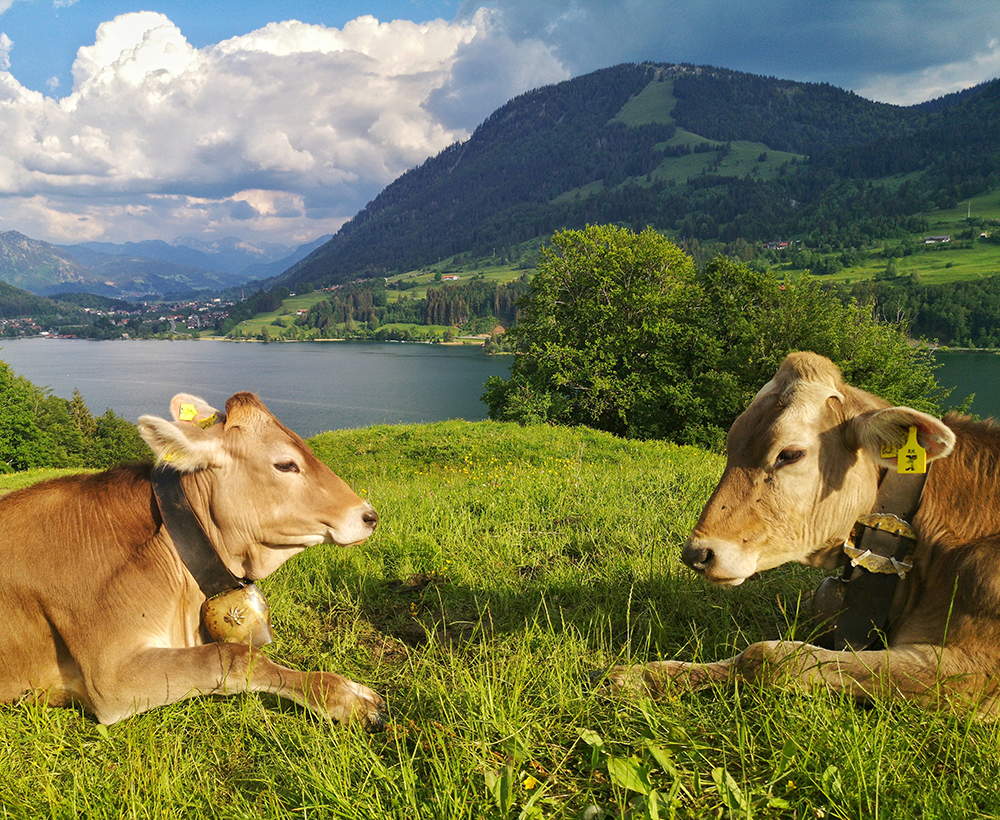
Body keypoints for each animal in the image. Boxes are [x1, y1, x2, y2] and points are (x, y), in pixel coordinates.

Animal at [604, 352, 1000, 716]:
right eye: (731, 445)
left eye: (790, 454)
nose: (697, 554)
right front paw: (641, 675)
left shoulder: (970, 673)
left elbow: (766, 656)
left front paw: (643, 677)